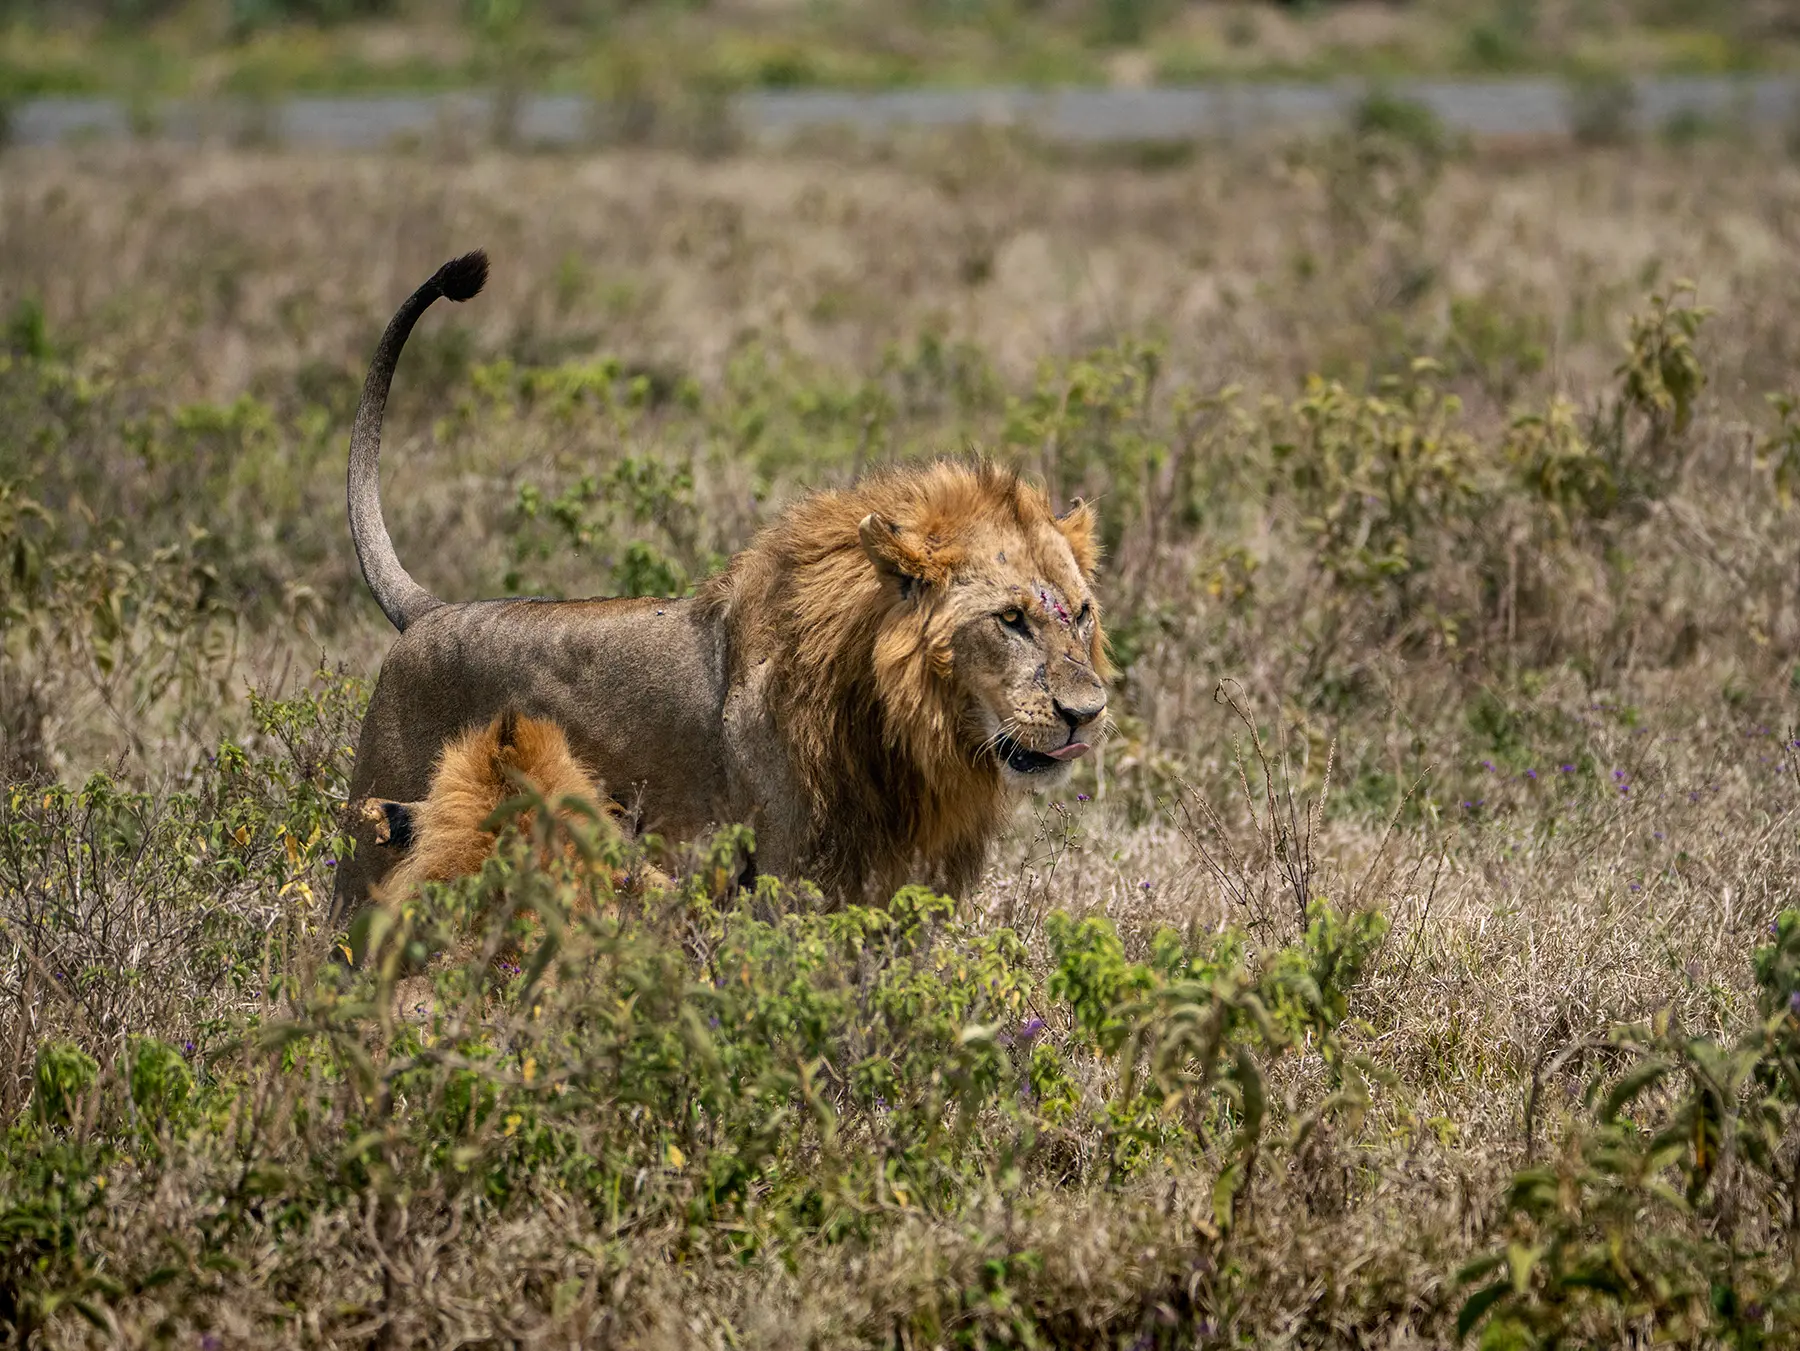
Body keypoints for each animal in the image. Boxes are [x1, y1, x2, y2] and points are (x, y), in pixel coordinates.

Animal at [335, 250, 1110, 921]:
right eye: (1010, 618)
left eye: (1081, 614)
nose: (1087, 713)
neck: (914, 734)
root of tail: (428, 612)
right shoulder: (786, 880)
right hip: (371, 845)